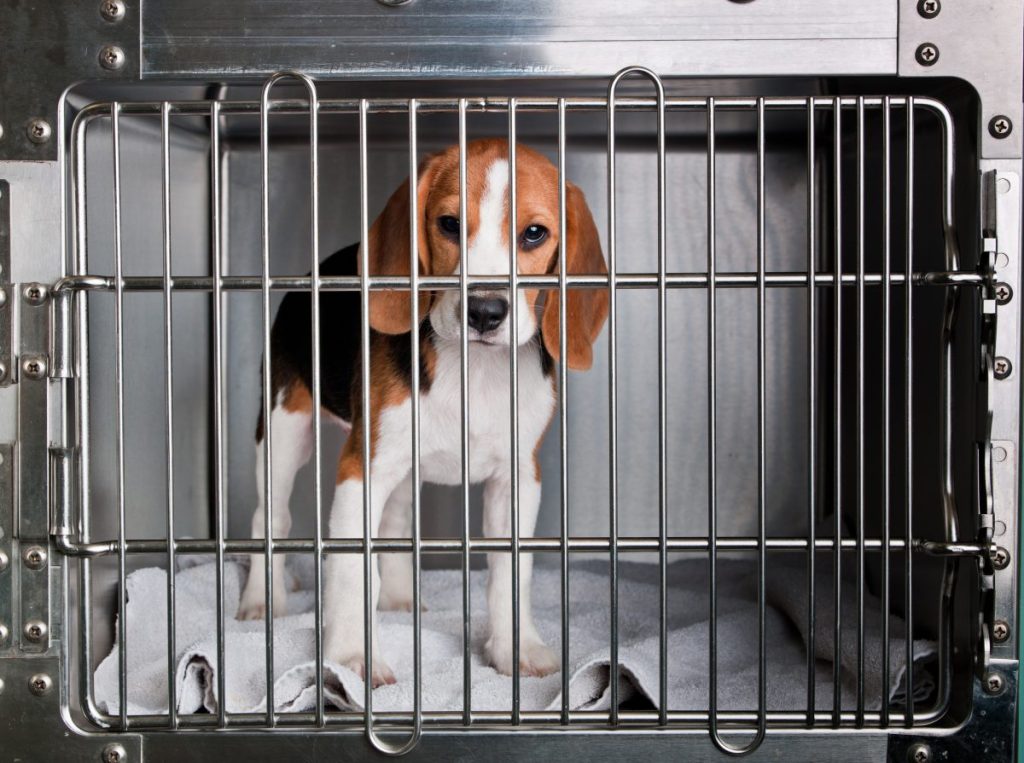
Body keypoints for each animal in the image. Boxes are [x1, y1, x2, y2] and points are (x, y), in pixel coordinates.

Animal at [237, 135, 606, 684]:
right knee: (272, 517)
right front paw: (352, 658)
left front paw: (516, 648)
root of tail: (314, 274)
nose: (485, 311)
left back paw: (399, 598)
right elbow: (352, 571)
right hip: (284, 427)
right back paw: (263, 600)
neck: (474, 369)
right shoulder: (361, 470)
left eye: (535, 233)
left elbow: (509, 575)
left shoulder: (517, 479)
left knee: (393, 524)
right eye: (449, 224)